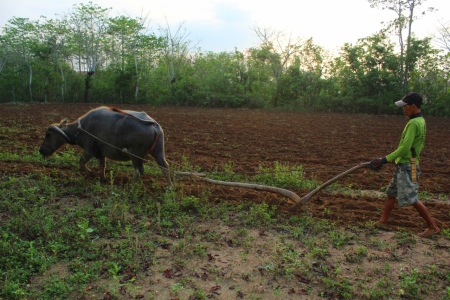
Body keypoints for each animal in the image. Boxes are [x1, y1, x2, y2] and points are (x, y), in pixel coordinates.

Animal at [39, 106, 172, 188]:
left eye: (48, 134)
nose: (41, 150)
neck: (80, 129)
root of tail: (154, 125)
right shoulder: (101, 154)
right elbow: (102, 166)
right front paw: (102, 178)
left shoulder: (89, 150)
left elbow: (81, 162)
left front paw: (91, 173)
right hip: (158, 151)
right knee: (164, 166)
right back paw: (169, 186)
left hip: (136, 155)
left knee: (139, 170)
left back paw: (131, 185)